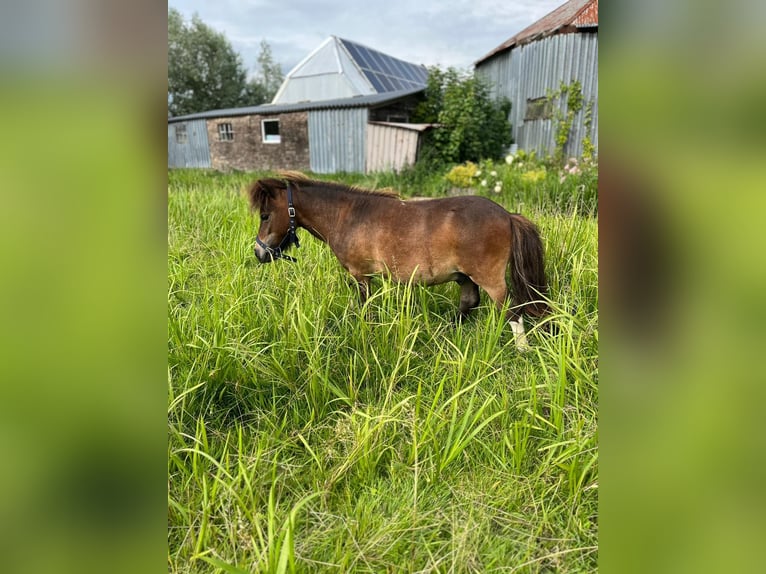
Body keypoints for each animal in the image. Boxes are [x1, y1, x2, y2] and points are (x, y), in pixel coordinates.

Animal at [249, 172, 548, 352]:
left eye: (265, 215)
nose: (258, 253)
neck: (347, 215)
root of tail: (507, 215)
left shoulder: (361, 276)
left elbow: (365, 308)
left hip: (490, 279)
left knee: (512, 311)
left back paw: (522, 349)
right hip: (465, 277)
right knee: (468, 303)